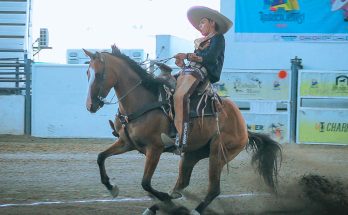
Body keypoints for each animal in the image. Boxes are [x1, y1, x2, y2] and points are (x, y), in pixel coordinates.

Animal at [83, 47, 282, 215]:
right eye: (87, 73)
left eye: (99, 74)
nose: (90, 106)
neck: (143, 101)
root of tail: (244, 127)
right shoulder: (126, 143)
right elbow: (100, 157)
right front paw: (112, 188)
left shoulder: (154, 149)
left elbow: (145, 183)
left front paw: (163, 198)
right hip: (191, 155)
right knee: (182, 183)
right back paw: (161, 205)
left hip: (218, 153)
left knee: (214, 189)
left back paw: (190, 209)